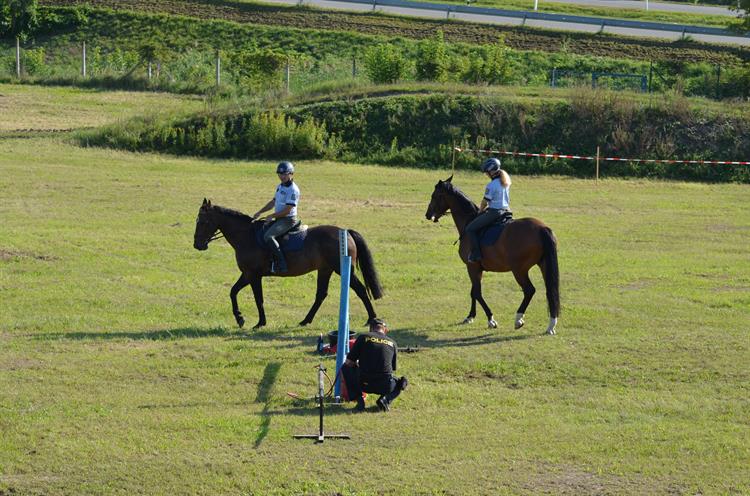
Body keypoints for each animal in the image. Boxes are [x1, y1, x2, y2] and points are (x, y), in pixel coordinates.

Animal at [194, 198, 384, 330]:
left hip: (342, 270)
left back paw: (372, 318)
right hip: (325, 270)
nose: (197, 245)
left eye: (203, 222)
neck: (247, 237)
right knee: (321, 295)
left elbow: (258, 299)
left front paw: (260, 323)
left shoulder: (253, 275)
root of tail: (346, 232)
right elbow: (233, 292)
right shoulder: (247, 274)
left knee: (360, 290)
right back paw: (305, 320)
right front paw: (240, 318)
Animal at [426, 176, 560, 336]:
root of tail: (541, 228)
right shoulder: (477, 269)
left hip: (519, 270)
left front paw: (491, 319)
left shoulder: (472, 266)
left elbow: (477, 293)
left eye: (434, 196)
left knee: (529, 290)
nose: (427, 215)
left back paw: (518, 319)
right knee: (550, 291)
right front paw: (470, 316)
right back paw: (551, 325)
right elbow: (473, 292)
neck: (469, 222)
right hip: (544, 265)